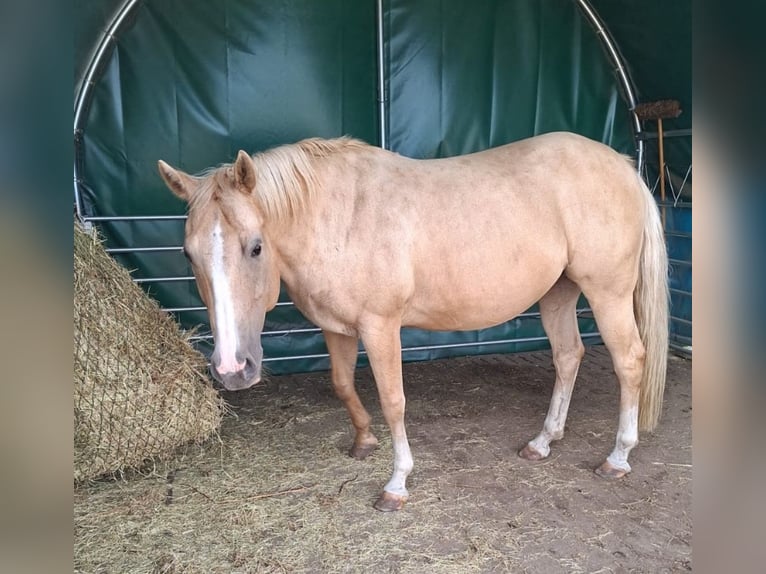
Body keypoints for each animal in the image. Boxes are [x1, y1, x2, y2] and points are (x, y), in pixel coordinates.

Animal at [158, 132, 668, 512]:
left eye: (256, 246)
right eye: (188, 254)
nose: (231, 368)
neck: (339, 215)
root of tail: (623, 166)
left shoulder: (380, 327)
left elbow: (393, 401)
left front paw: (396, 483)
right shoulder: (336, 328)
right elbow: (343, 384)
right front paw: (363, 441)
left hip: (608, 293)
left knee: (629, 361)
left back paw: (618, 456)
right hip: (558, 293)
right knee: (567, 357)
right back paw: (543, 441)